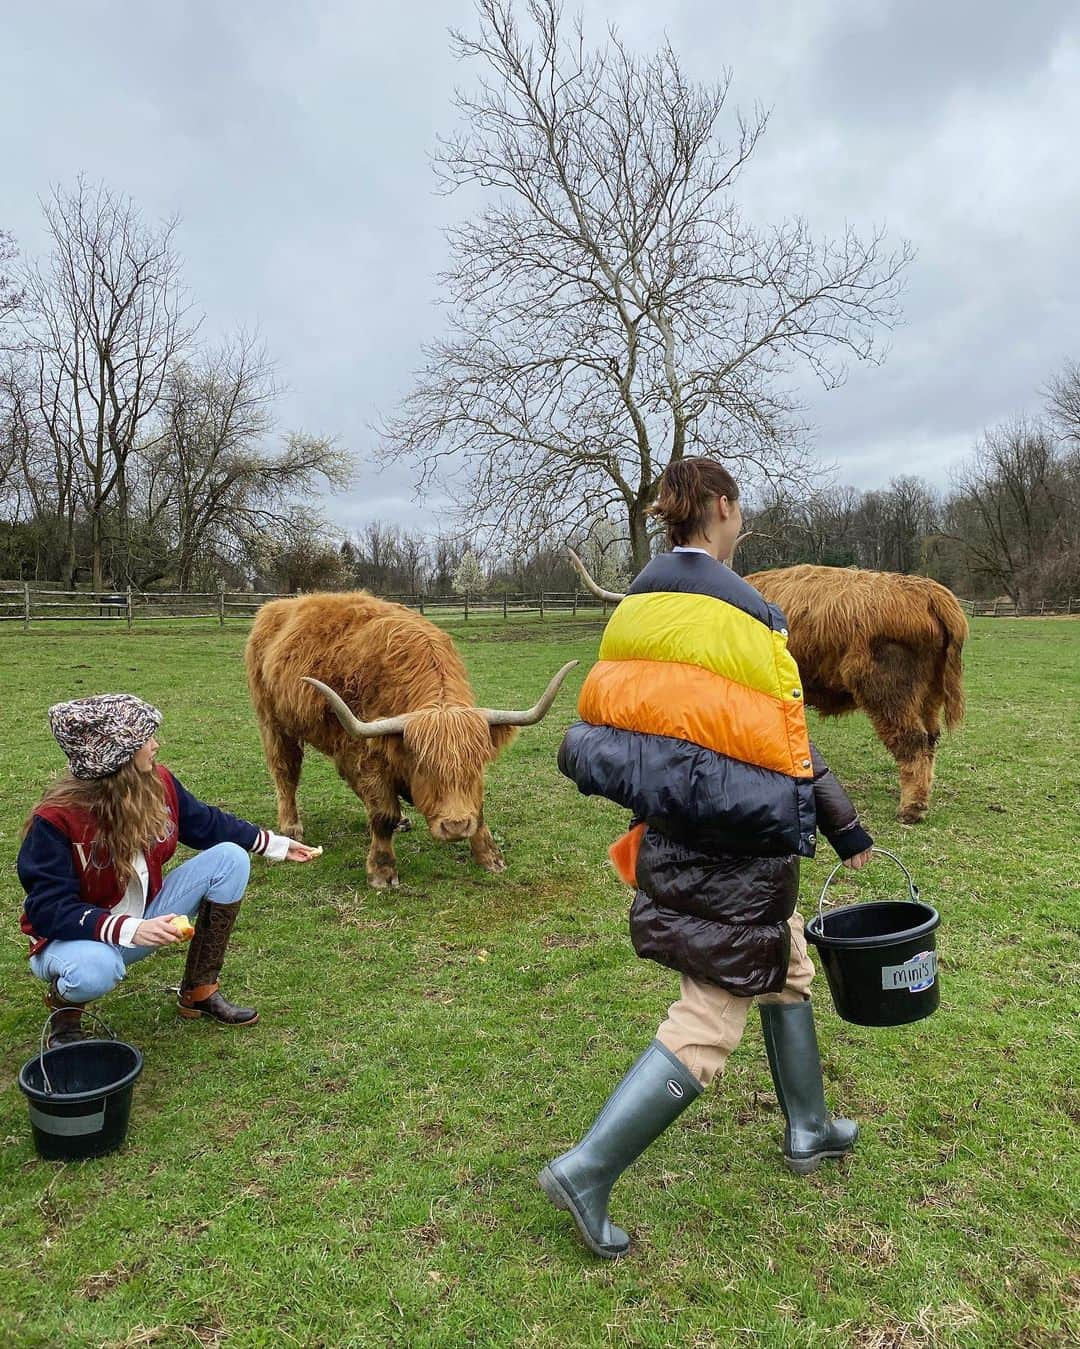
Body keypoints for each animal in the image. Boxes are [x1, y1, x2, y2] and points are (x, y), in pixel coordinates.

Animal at [248, 593, 577, 884]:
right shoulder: (368, 753)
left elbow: (478, 809)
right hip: (273, 723)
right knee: (285, 772)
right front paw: (382, 871)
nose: (456, 826)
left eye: (476, 765)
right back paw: (291, 826)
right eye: (424, 766)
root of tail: (274, 607)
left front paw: (490, 856)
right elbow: (381, 813)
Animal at [568, 547, 965, 820]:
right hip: (928, 693)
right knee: (930, 739)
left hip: (888, 688)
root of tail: (928, 592)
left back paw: (911, 809)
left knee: (911, 740)